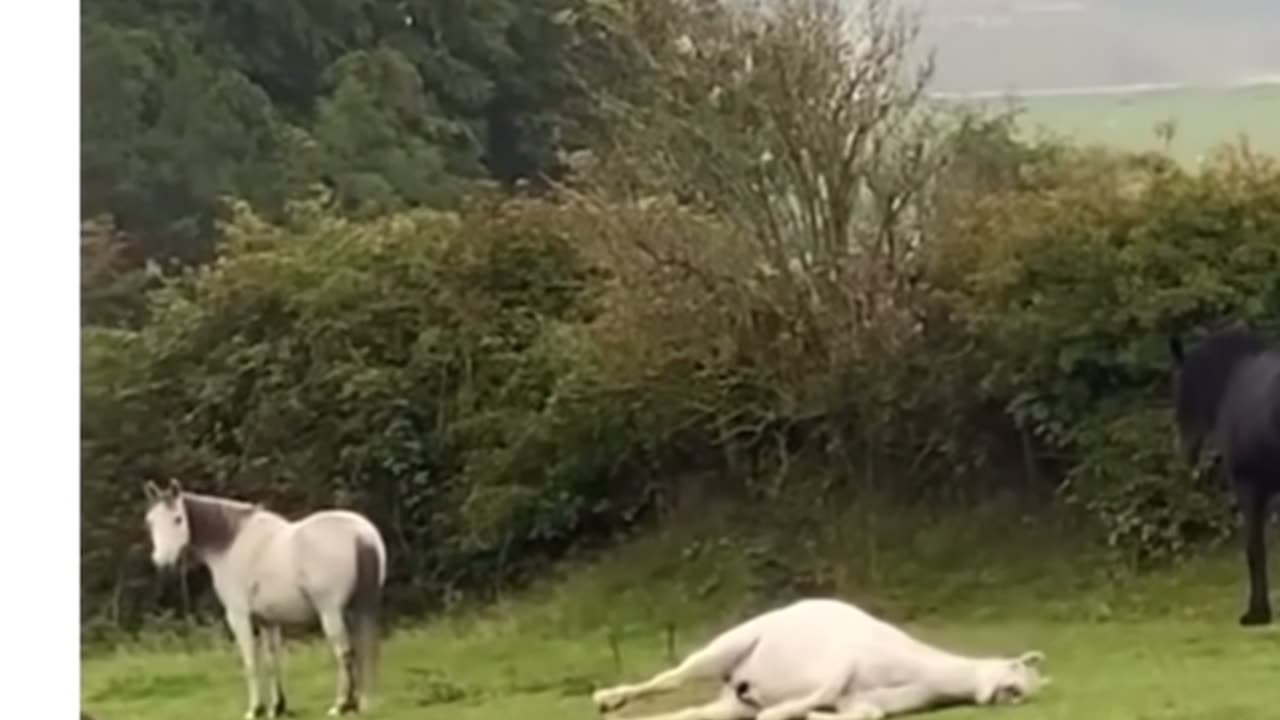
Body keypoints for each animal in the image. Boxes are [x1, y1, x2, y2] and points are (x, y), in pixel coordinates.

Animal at [142, 478, 388, 718]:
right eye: (151, 522)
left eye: (178, 519)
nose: (163, 563)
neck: (230, 544)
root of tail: (361, 534)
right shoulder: (268, 620)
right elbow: (272, 661)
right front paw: (278, 707)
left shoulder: (239, 616)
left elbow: (251, 661)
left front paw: (255, 709)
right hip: (353, 609)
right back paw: (358, 703)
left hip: (331, 613)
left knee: (344, 653)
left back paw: (341, 705)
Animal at [591, 598, 1048, 720]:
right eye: (1015, 671)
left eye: (1024, 693)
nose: (1008, 697)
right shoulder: (838, 664)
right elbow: (807, 698)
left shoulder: (864, 705)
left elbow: (856, 715)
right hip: (724, 648)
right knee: (669, 678)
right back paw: (607, 698)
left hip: (728, 704)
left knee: (686, 715)